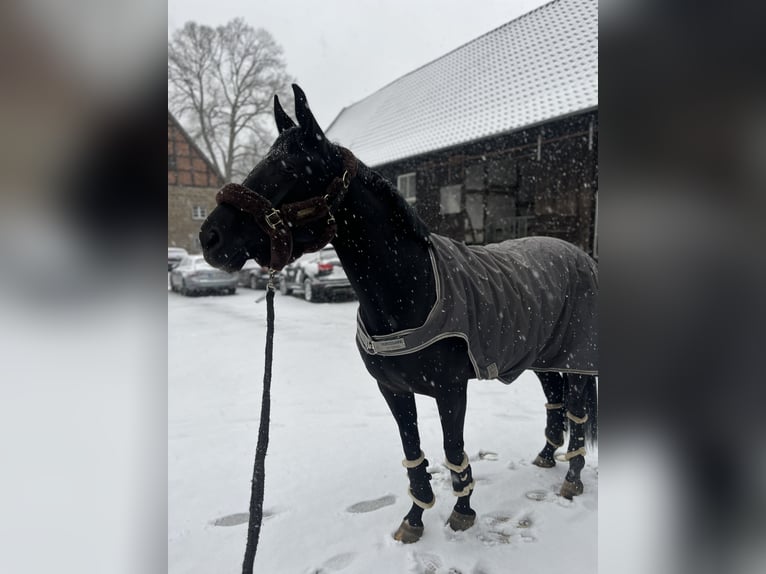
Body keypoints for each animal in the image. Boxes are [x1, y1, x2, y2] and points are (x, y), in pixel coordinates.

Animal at [202, 84, 600, 544]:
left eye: (288, 168)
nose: (210, 237)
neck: (410, 292)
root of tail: (580, 255)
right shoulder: (393, 390)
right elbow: (413, 454)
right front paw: (414, 519)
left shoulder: (451, 391)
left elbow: (452, 450)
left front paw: (462, 513)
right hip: (541, 357)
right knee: (555, 403)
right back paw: (546, 457)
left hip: (576, 361)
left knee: (576, 411)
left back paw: (572, 478)